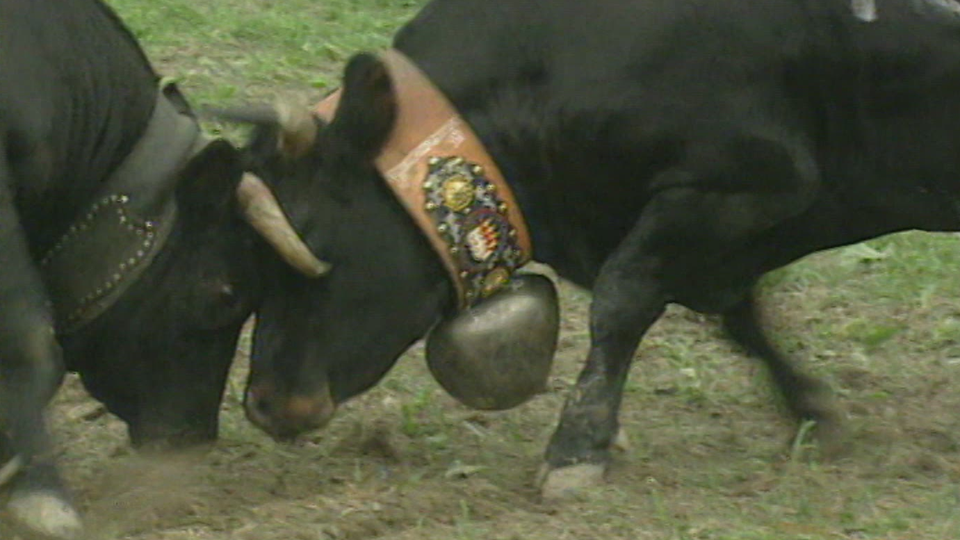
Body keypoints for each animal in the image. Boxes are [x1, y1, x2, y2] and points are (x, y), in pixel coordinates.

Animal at [231, 0, 960, 498]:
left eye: (308, 241)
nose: (262, 402)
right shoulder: (720, 233)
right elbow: (741, 321)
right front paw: (811, 410)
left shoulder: (741, 186)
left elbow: (621, 299)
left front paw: (576, 449)